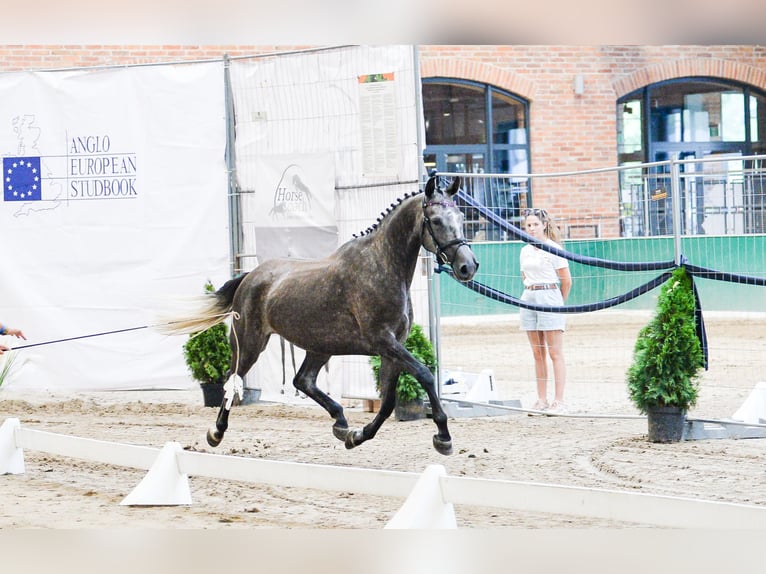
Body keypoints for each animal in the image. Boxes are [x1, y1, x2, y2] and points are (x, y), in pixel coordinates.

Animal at [161, 175, 478, 455]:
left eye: (461, 217)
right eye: (435, 221)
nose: (468, 266)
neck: (383, 266)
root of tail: (250, 276)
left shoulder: (392, 349)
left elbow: (388, 402)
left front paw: (356, 436)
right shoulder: (383, 342)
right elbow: (424, 374)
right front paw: (444, 437)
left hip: (320, 346)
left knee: (302, 381)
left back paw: (340, 423)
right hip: (251, 343)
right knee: (233, 378)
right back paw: (216, 432)